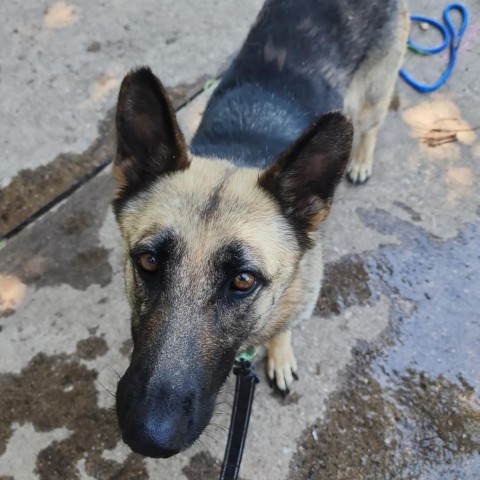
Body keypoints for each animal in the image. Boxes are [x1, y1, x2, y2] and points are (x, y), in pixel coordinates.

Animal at [113, 0, 408, 460]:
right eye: (148, 261)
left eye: (243, 280)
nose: (147, 436)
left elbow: (283, 328)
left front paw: (280, 355)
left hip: (373, 99)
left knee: (370, 126)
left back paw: (360, 160)